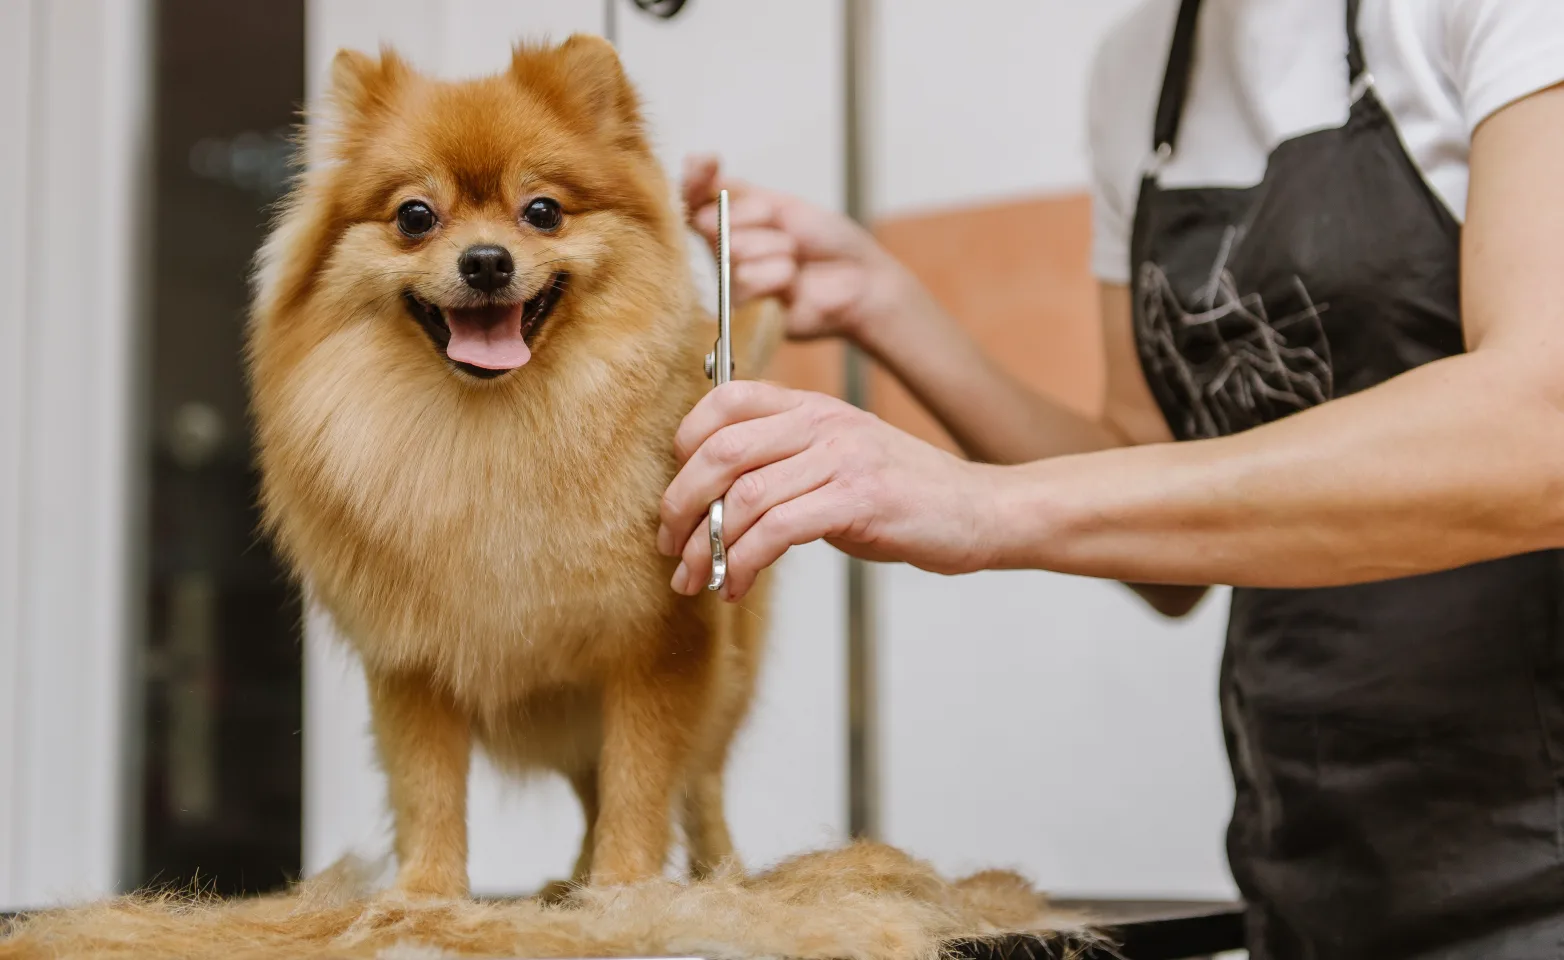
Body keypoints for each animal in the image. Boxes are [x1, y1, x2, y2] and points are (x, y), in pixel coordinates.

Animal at [243, 33, 775, 900]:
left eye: (543, 211)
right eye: (415, 216)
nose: (487, 261)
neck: (498, 433)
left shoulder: (659, 645)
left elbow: (641, 779)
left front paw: (626, 890)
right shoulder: (412, 660)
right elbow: (427, 786)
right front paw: (426, 896)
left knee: (697, 783)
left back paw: (711, 874)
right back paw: (568, 883)